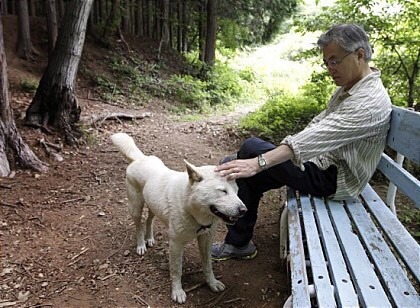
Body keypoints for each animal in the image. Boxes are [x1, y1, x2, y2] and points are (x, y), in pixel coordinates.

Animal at [110, 132, 248, 304]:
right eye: (223, 191)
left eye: (236, 192)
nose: (244, 210)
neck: (190, 207)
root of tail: (140, 158)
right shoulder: (176, 244)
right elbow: (177, 270)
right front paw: (177, 292)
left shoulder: (206, 240)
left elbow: (207, 265)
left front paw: (212, 283)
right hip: (135, 207)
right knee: (138, 226)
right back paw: (141, 245)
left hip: (153, 206)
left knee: (149, 220)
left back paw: (150, 239)